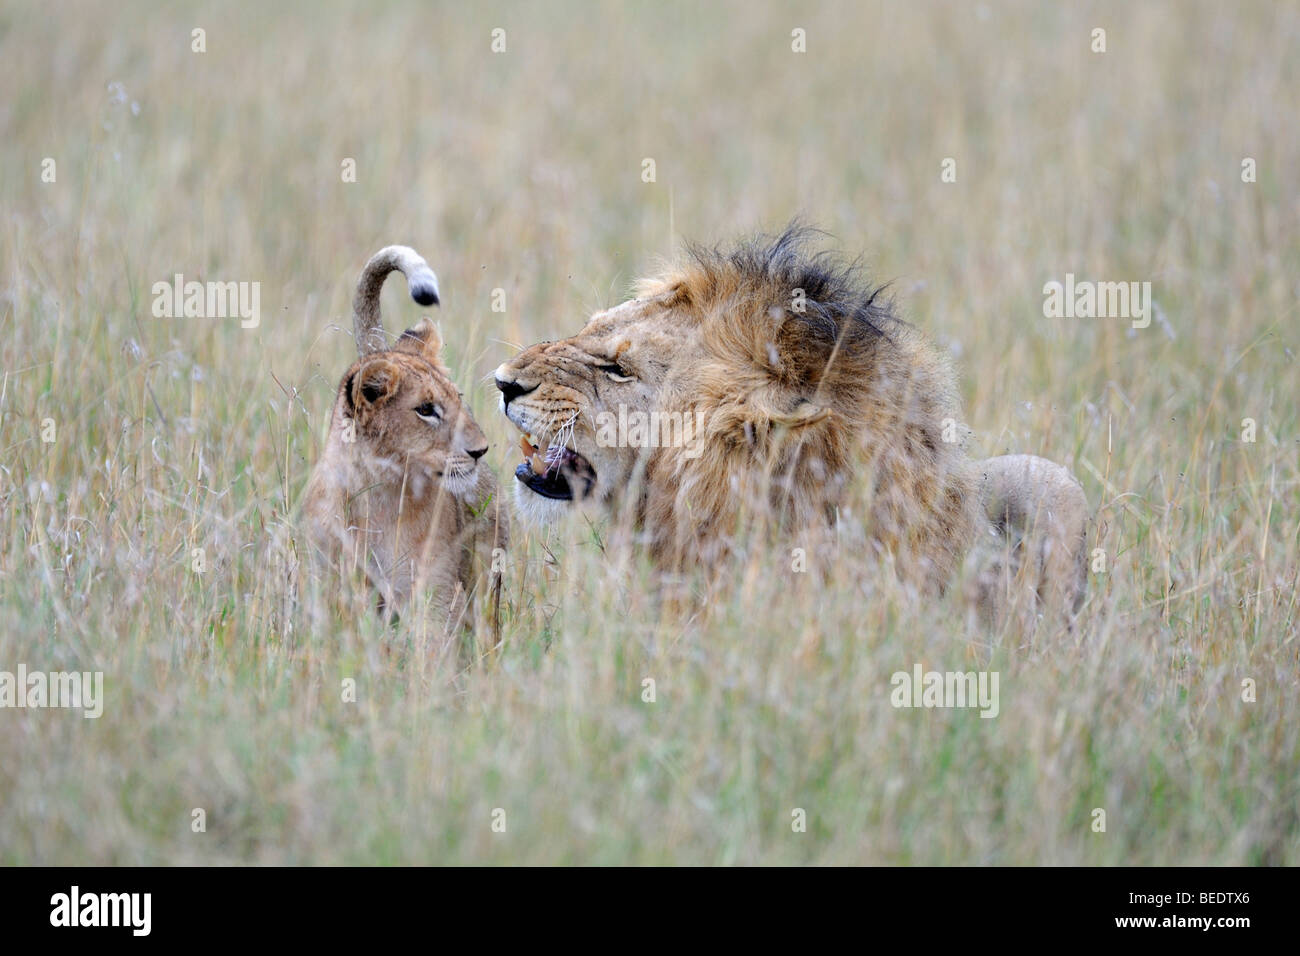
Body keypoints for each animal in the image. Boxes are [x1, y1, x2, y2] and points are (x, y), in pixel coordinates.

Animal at [302, 245, 507, 633]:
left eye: (458, 399)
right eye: (426, 410)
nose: (481, 450)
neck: (378, 493)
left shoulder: (435, 592)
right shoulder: (330, 586)